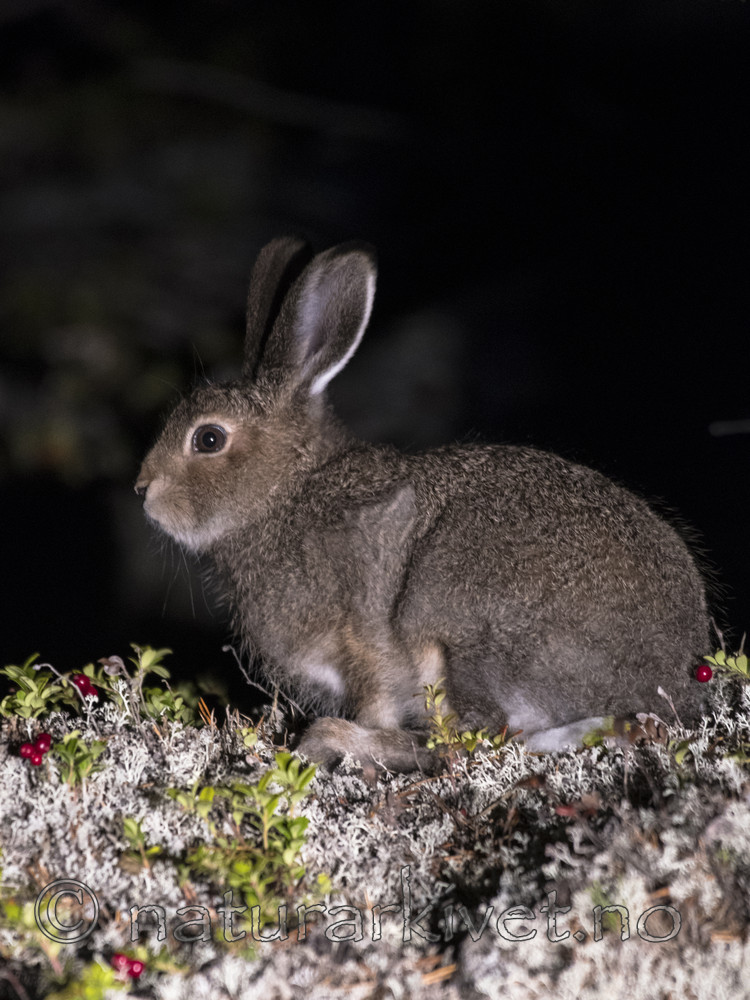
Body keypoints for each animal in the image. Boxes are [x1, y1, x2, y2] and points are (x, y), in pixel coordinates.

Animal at [136, 236, 710, 771]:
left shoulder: (362, 642)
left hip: (457, 630)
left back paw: (332, 741)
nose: (143, 491)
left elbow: (381, 701)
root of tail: (669, 676)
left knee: (478, 740)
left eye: (208, 439)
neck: (286, 492)